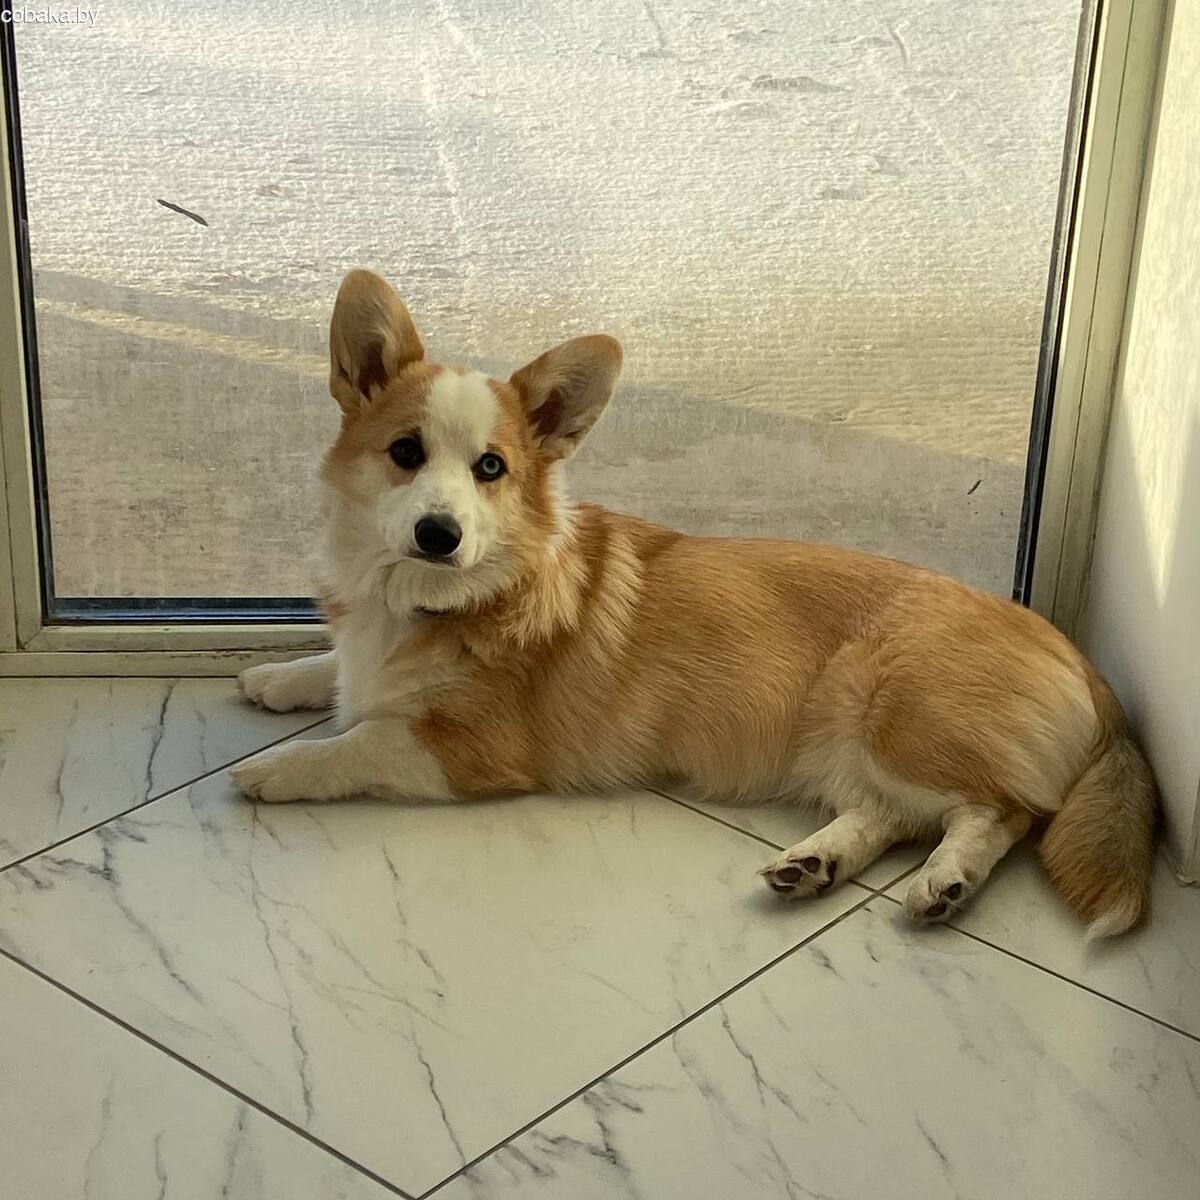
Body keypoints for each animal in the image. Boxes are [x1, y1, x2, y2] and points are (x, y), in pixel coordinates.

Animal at [233, 268, 1159, 937]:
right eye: (405, 451)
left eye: (490, 468)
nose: (439, 533)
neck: (438, 597)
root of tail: (1080, 658)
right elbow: (332, 670)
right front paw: (276, 679)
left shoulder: (464, 751)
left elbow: (355, 744)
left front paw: (276, 767)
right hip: (856, 749)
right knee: (886, 816)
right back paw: (815, 864)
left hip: (894, 717)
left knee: (1001, 812)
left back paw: (947, 881)